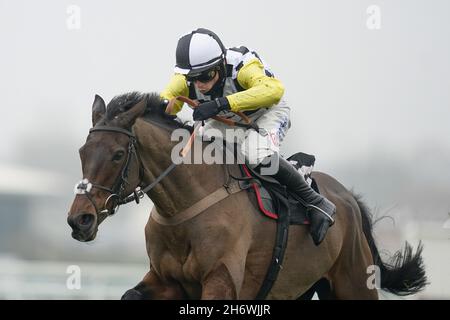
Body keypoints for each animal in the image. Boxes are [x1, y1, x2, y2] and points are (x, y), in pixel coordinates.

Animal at [66, 92, 426, 300]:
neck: (185, 207)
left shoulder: (222, 281)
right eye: (82, 151)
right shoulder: (165, 279)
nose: (79, 219)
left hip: (353, 282)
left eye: (116, 154)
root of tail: (348, 199)